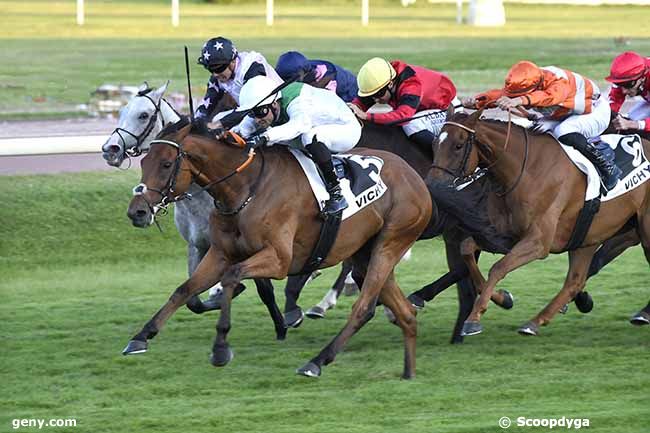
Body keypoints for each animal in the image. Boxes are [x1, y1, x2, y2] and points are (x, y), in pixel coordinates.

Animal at [124, 116, 432, 376]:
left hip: (389, 244)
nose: (137, 211)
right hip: (364, 254)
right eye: (143, 162)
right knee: (405, 313)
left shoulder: (279, 259)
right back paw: (408, 372)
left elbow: (233, 276)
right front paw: (141, 337)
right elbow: (184, 290)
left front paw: (221, 347)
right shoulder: (220, 253)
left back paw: (316, 361)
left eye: (166, 164)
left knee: (364, 306)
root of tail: (414, 176)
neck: (245, 189)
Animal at [430, 110, 648, 334]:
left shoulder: (539, 242)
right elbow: (467, 249)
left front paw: (474, 318)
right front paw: (503, 299)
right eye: (434, 143)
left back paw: (642, 314)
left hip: (642, 229)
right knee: (574, 282)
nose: (432, 184)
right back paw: (537, 320)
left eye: (458, 145)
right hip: (590, 236)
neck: (524, 170)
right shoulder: (505, 235)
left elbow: (498, 268)